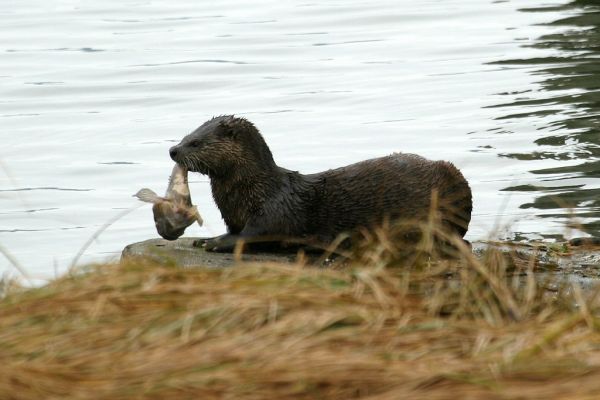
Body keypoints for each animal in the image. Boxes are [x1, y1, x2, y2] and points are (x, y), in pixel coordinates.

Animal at [169, 114, 474, 252]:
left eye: (196, 142)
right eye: (185, 136)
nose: (172, 150)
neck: (251, 190)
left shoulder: (274, 212)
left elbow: (255, 235)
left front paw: (216, 242)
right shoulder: (233, 216)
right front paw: (207, 238)